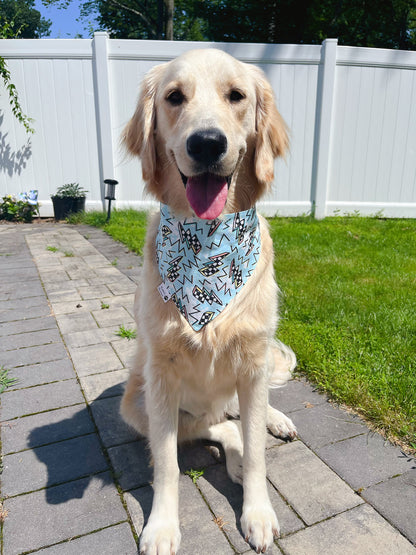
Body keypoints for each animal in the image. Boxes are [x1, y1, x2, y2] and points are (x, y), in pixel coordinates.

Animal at [120, 48, 296, 555]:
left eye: (236, 95)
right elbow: (167, 463)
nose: (206, 144)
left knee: (241, 416)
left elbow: (258, 454)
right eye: (174, 97)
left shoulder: (254, 360)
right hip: (135, 402)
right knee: (217, 426)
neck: (207, 249)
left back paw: (275, 421)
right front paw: (161, 526)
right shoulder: (160, 376)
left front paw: (258, 513)